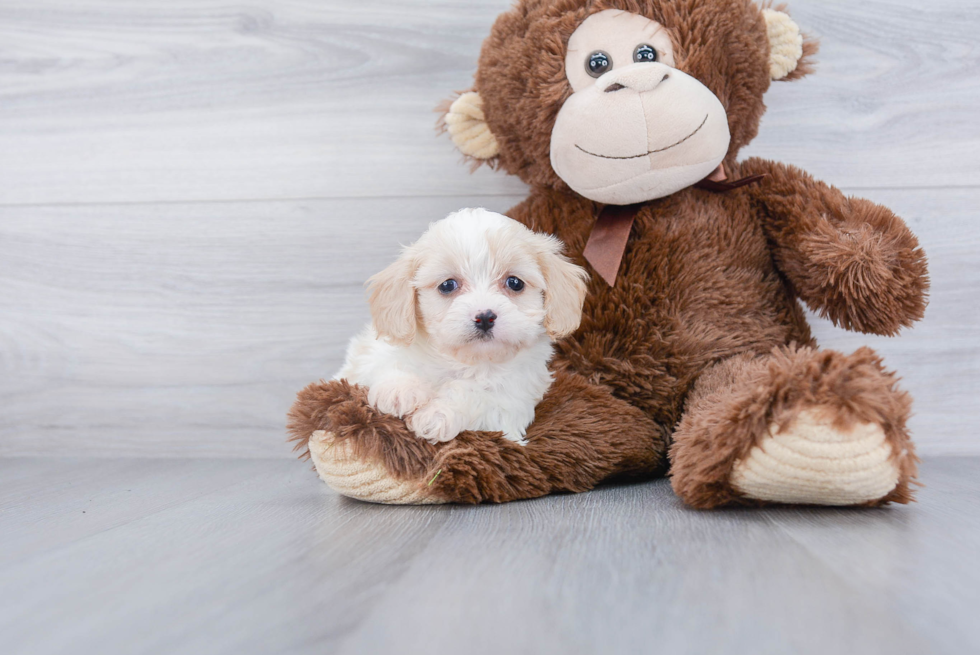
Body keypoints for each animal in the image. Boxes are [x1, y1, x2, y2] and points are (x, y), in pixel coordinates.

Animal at [336, 210, 584, 446]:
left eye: (515, 283)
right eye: (447, 285)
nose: (484, 317)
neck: (461, 362)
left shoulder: (511, 401)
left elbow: (472, 393)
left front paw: (435, 415)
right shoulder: (367, 357)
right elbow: (386, 361)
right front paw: (399, 390)